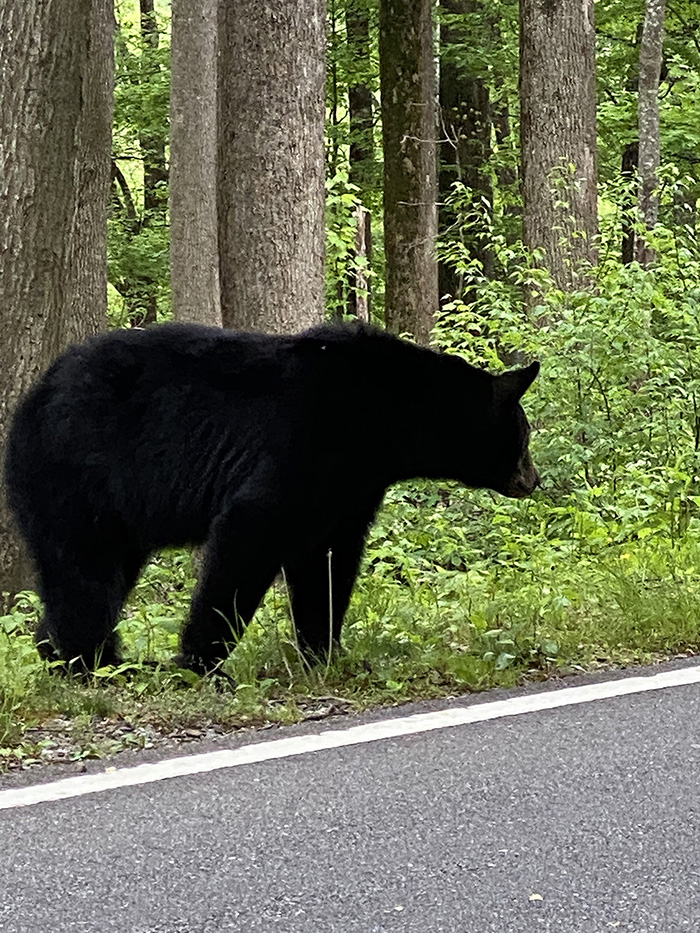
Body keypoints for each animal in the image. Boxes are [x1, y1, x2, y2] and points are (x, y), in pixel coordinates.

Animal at [5, 324, 540, 672]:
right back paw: (95, 663)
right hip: (76, 476)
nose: (533, 479)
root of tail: (30, 400)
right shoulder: (305, 445)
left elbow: (327, 560)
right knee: (84, 572)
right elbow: (250, 532)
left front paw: (325, 654)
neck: (390, 419)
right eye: (524, 435)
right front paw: (201, 661)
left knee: (97, 575)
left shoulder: (352, 485)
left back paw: (58, 652)